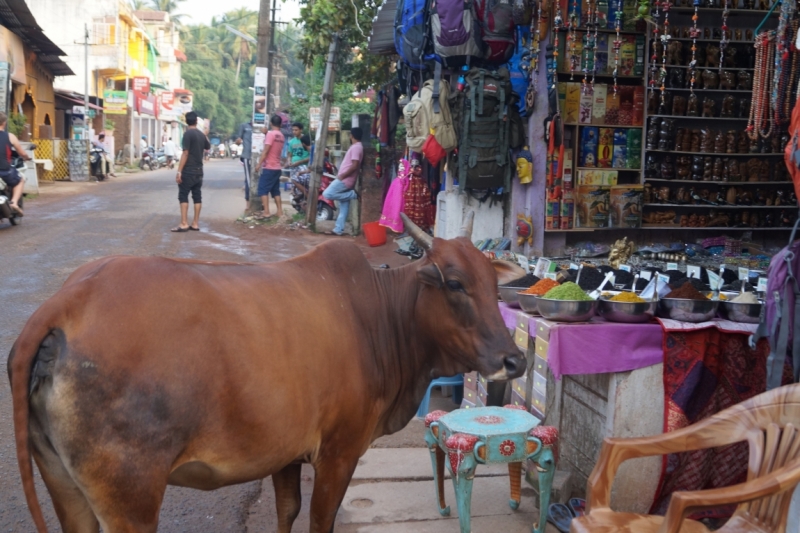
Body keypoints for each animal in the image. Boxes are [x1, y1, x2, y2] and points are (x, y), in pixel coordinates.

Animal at [9, 213, 528, 532]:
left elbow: (287, 512)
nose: (516, 360)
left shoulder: (285, 454)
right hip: (130, 500)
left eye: (493, 283)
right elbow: (319, 519)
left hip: (64, 485)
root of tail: (68, 300)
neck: (380, 317)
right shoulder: (339, 453)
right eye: (455, 283)